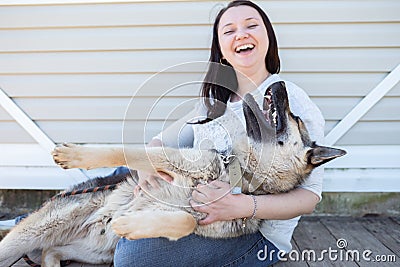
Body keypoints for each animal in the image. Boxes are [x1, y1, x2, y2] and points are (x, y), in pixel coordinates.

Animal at [0, 82, 344, 267]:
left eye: (295, 117)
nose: (280, 84)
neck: (239, 178)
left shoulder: (203, 219)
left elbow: (185, 220)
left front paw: (130, 224)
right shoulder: (168, 158)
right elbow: (128, 152)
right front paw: (76, 155)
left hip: (95, 252)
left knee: (51, 250)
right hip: (31, 234)